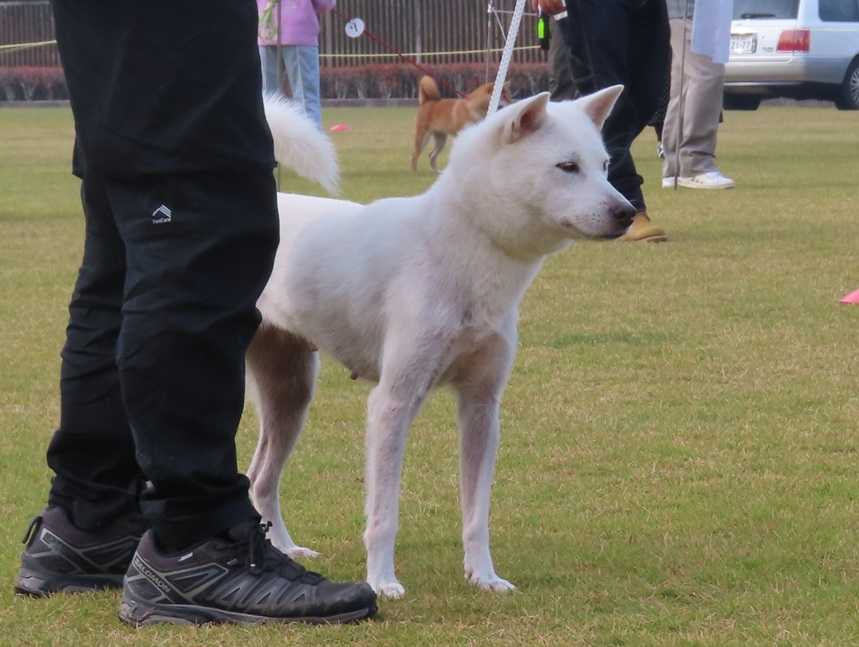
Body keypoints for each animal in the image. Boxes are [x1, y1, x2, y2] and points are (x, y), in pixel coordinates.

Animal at [248, 88, 634, 599]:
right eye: (567, 167)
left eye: (605, 165)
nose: (627, 213)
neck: (459, 247)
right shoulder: (393, 403)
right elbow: (384, 515)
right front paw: (382, 582)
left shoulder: (481, 407)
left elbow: (476, 513)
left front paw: (484, 577)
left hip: (289, 395)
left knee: (260, 481)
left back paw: (285, 550)